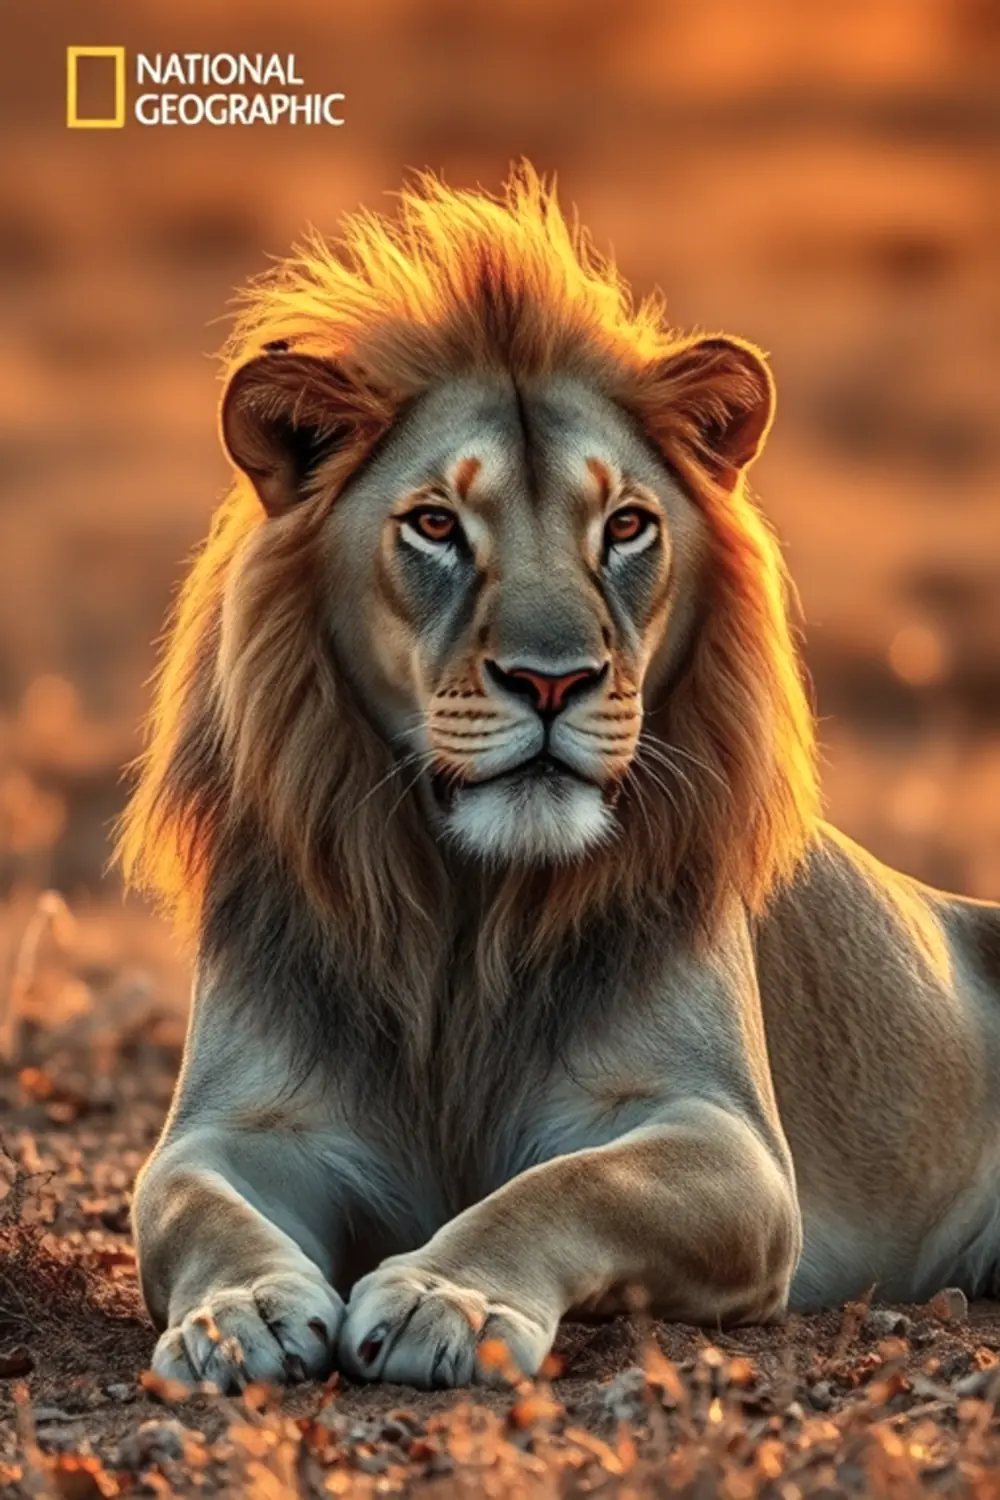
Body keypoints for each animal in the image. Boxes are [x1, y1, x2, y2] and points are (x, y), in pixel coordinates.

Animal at [120, 165, 1000, 1392]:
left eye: (625, 525)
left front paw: (444, 1295)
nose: (554, 680)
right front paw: (236, 1313)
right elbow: (189, 1204)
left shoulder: (722, 1138)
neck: (466, 908)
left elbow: (567, 1185)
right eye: (435, 524)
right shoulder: (236, 1127)